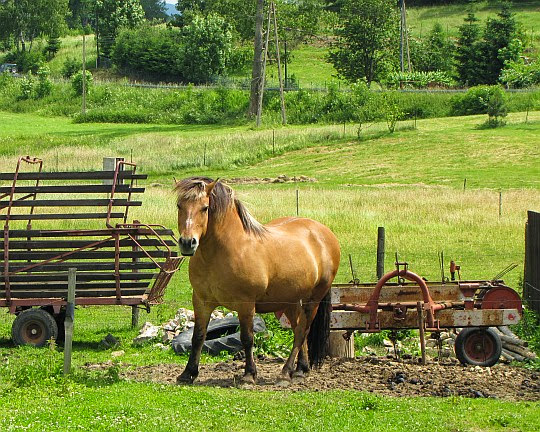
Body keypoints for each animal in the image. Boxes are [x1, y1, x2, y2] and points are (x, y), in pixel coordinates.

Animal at [175, 176, 340, 384]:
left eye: (205, 208)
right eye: (179, 205)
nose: (187, 243)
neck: (222, 252)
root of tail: (323, 232)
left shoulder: (246, 304)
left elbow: (247, 338)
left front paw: (249, 375)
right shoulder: (201, 301)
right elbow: (198, 337)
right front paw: (188, 373)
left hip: (314, 299)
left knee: (302, 331)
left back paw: (286, 372)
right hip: (290, 301)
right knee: (299, 330)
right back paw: (301, 369)